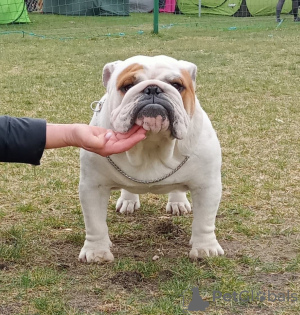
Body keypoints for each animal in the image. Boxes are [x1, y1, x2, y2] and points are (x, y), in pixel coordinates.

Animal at [78, 55, 224, 262]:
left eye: (177, 85)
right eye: (127, 86)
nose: (153, 89)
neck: (151, 143)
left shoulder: (207, 186)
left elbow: (204, 220)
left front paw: (205, 248)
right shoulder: (93, 187)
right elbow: (95, 223)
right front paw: (96, 252)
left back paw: (178, 203)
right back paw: (129, 201)